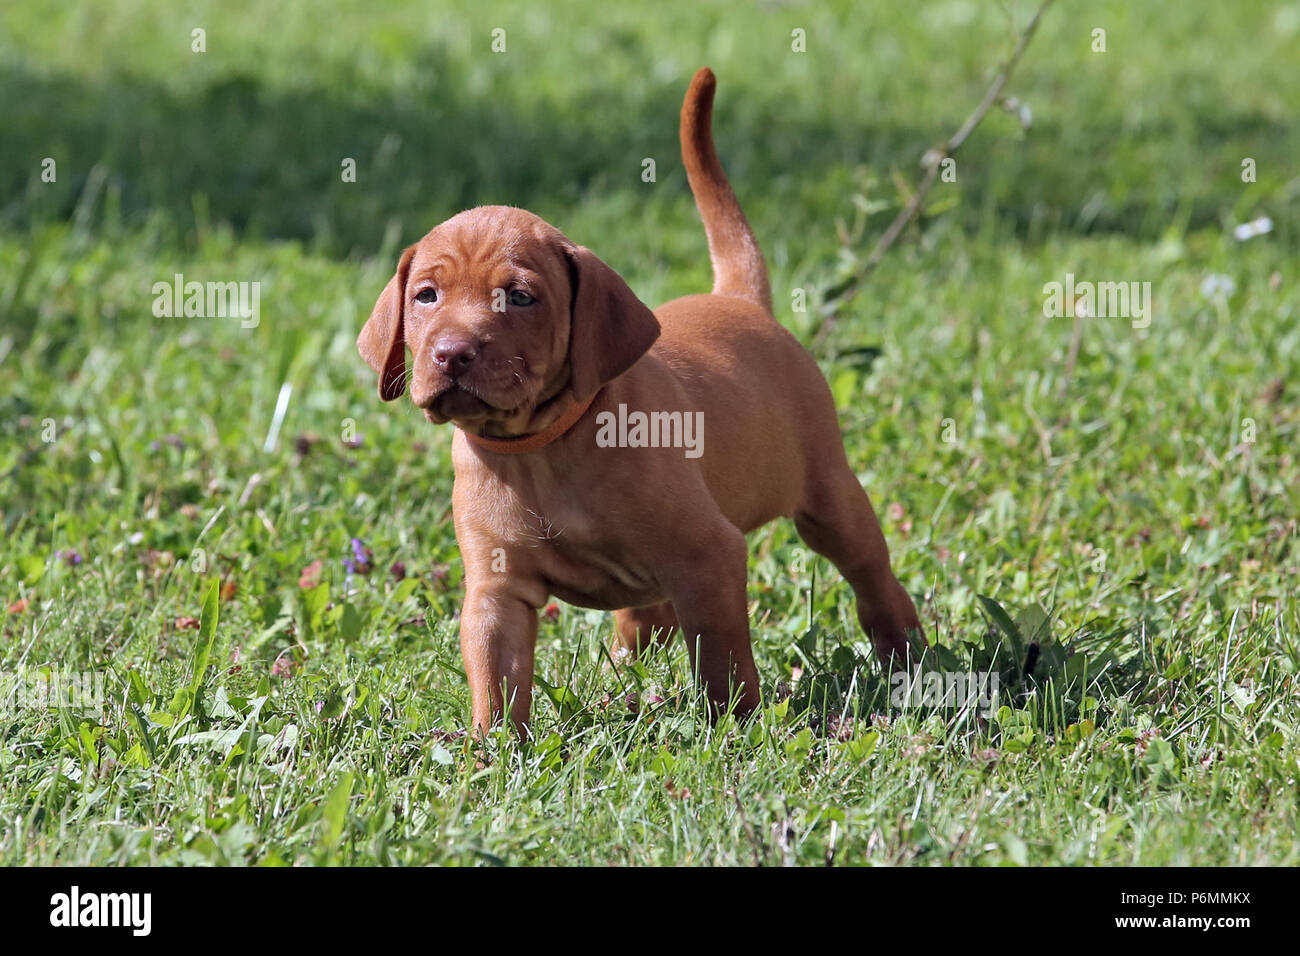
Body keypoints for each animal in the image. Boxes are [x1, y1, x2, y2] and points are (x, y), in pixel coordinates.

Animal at [358, 69, 925, 738]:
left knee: (871, 574)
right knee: (645, 619)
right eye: (425, 295)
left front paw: (734, 730)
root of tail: (739, 300)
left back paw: (907, 652)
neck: (542, 449)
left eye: (520, 298)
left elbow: (723, 659)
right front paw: (493, 751)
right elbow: (495, 680)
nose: (451, 354)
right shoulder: (497, 590)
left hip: (829, 497)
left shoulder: (710, 555)